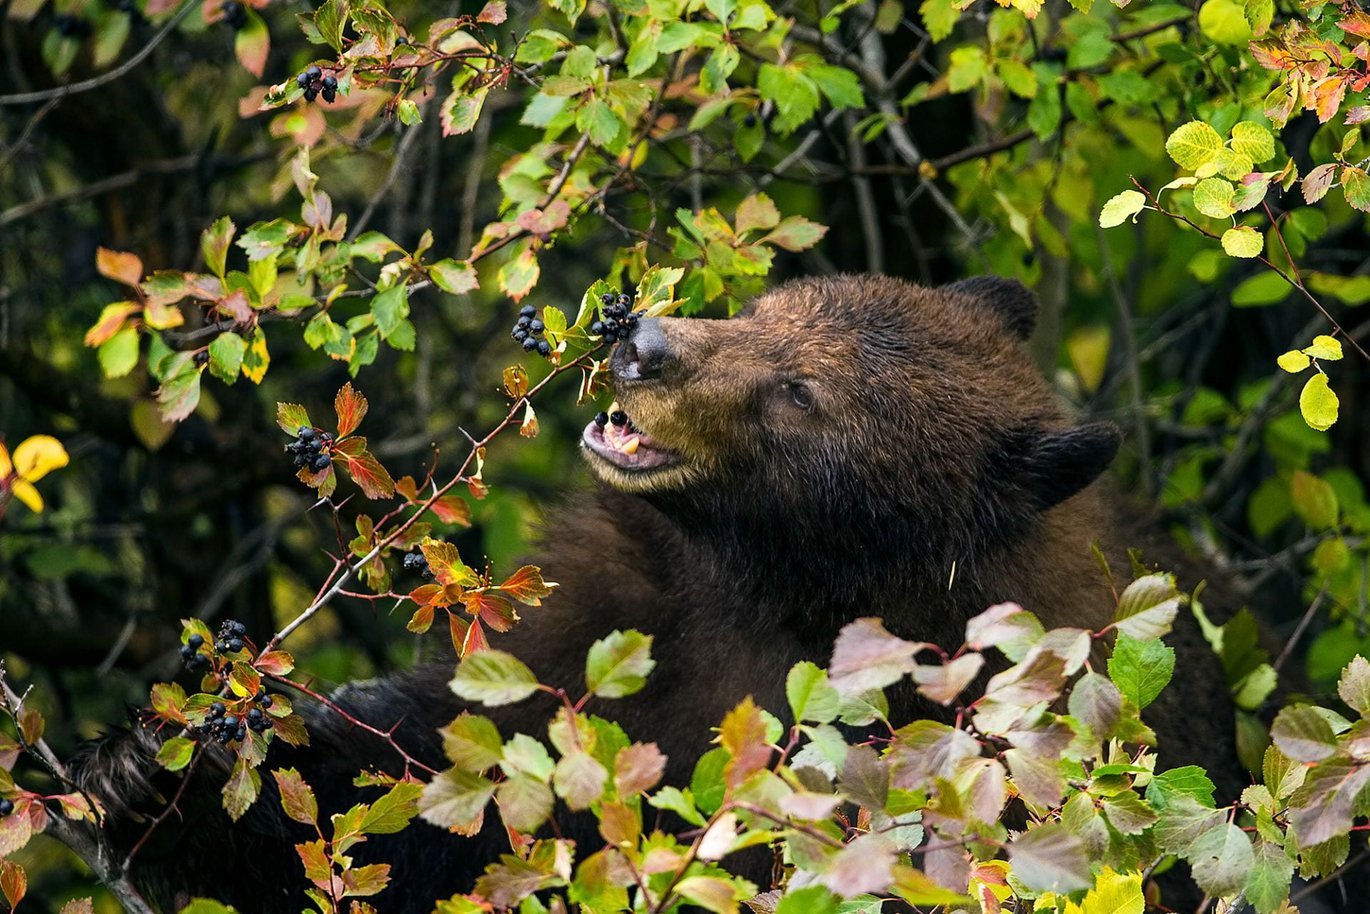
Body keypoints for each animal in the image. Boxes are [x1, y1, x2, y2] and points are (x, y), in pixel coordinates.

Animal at [80, 275, 1249, 909]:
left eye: (801, 391)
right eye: (769, 304)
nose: (640, 340)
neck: (786, 591)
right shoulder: (627, 617)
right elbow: (434, 776)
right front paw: (153, 772)